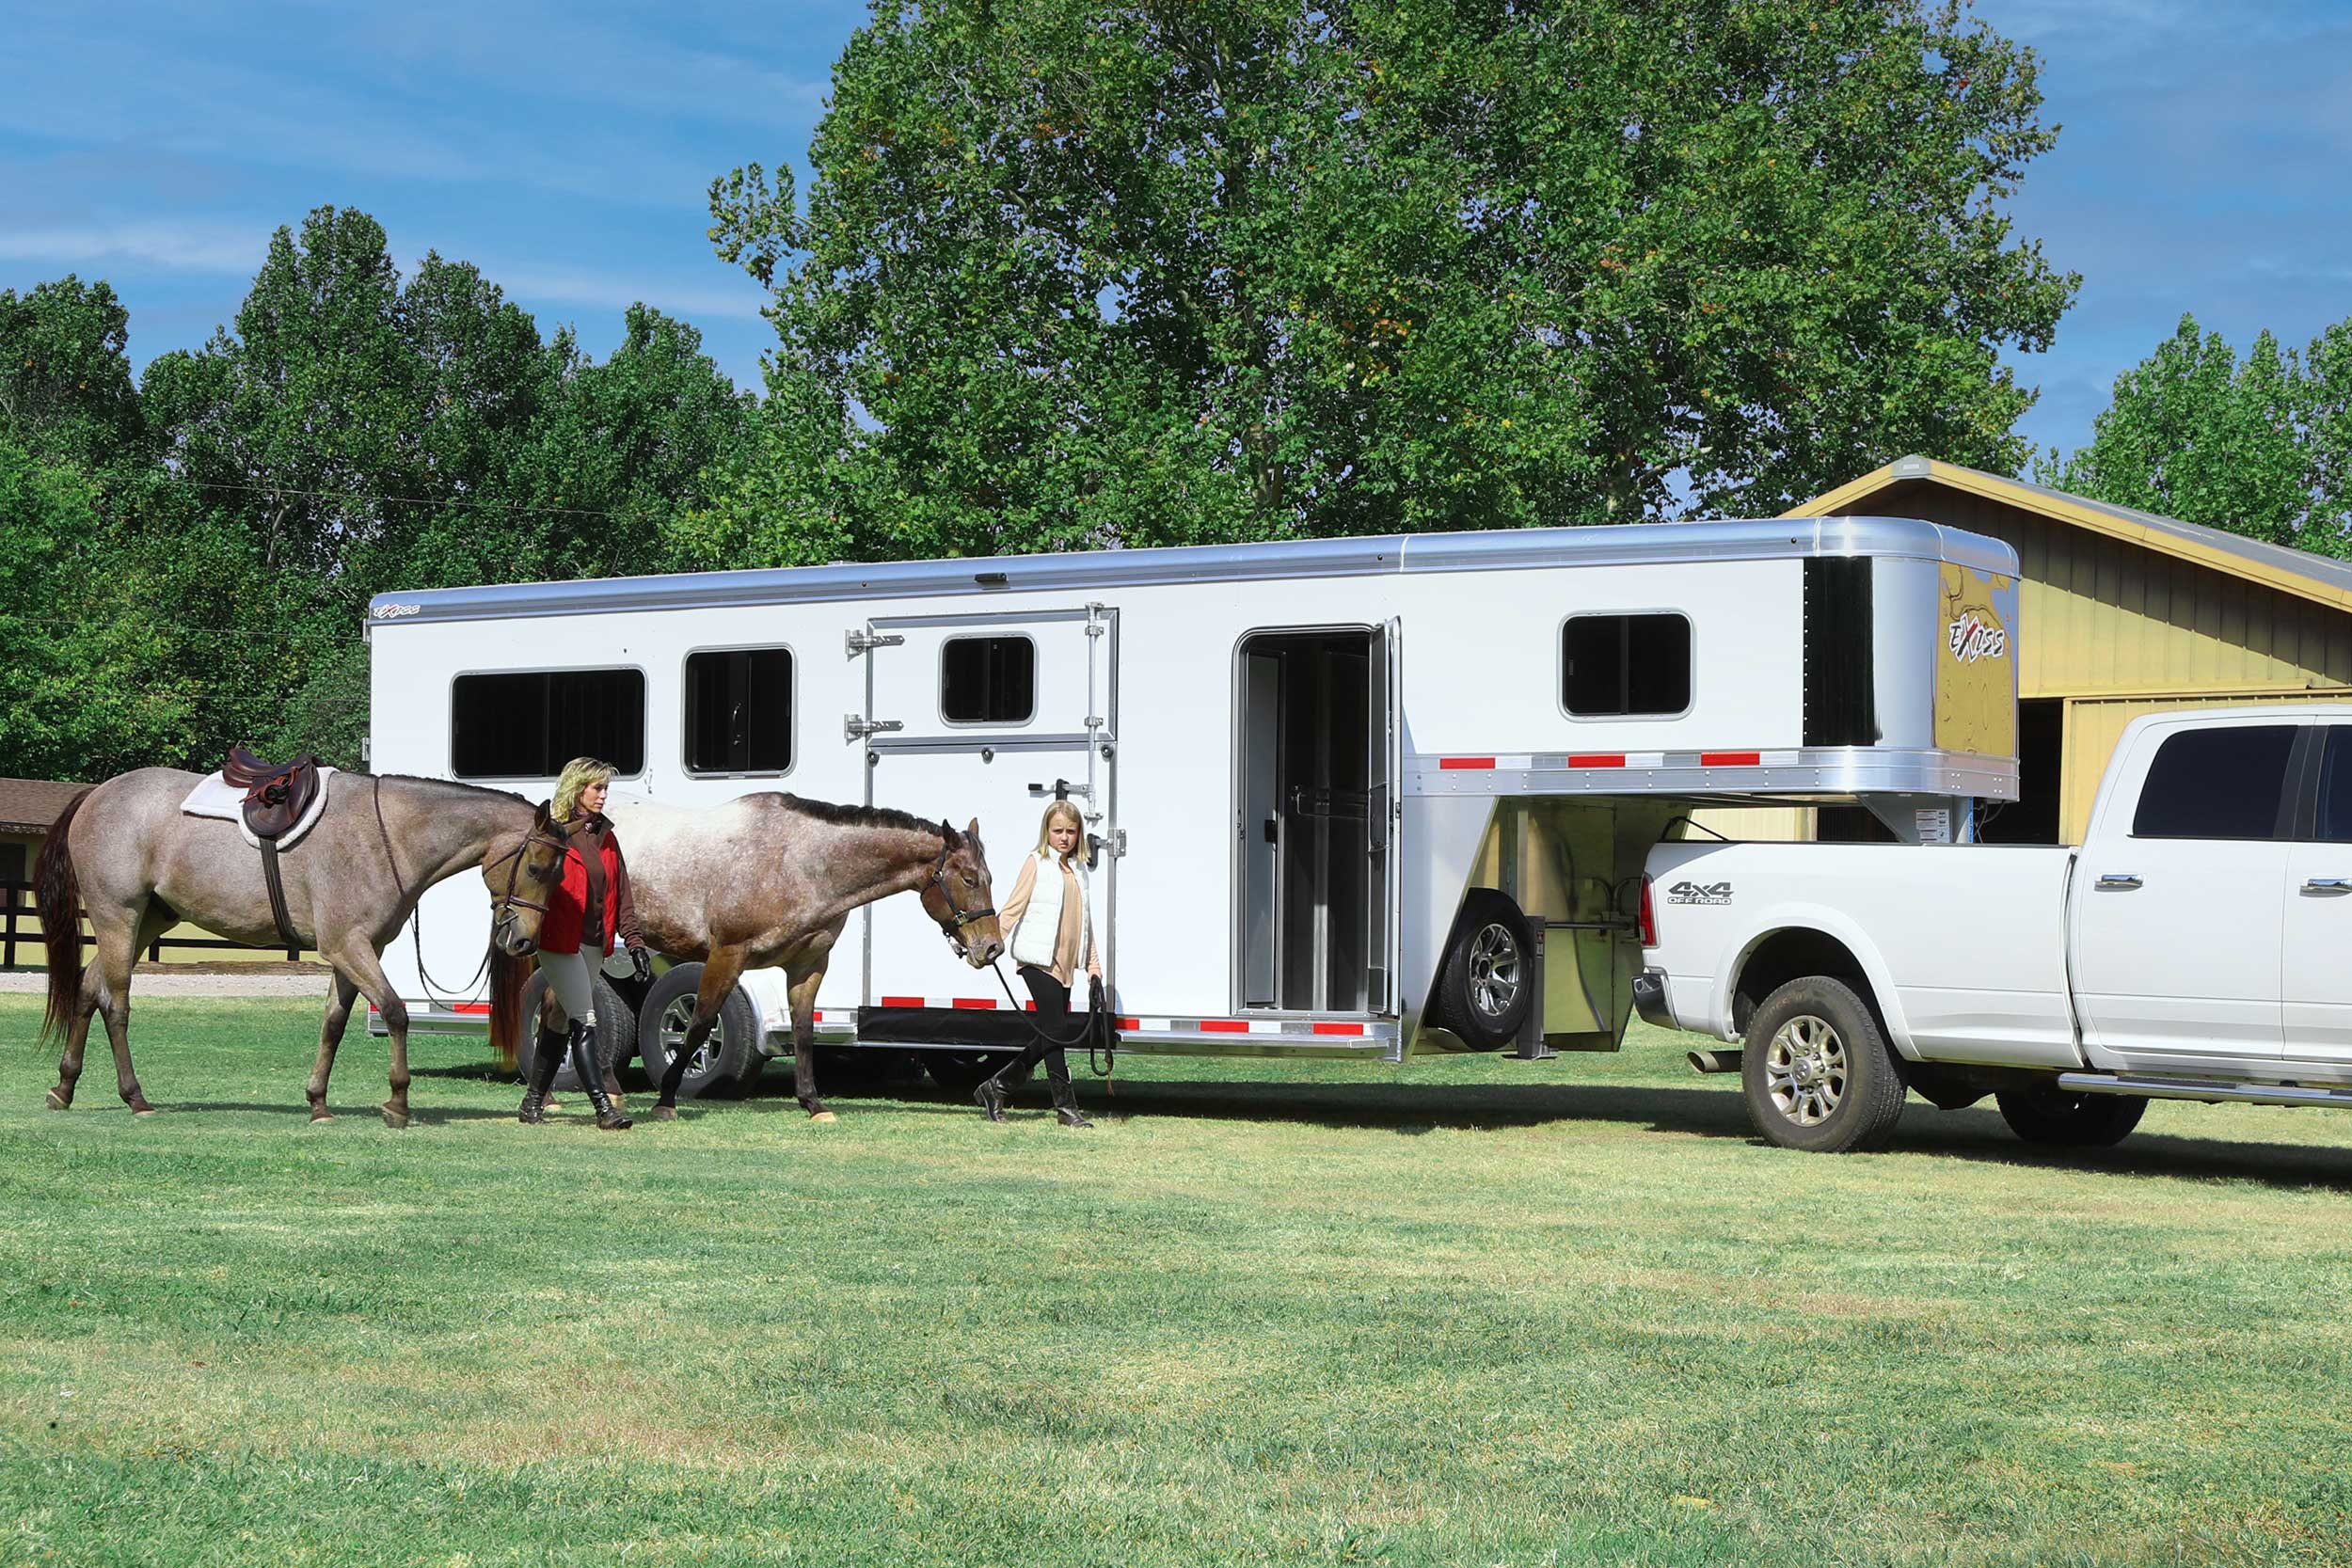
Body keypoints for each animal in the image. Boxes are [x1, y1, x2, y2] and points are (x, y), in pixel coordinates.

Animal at [43, 770, 566, 1128]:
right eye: (537, 868)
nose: (523, 940)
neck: (387, 834)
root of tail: (95, 795)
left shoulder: (356, 951)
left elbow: (333, 1024)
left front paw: (318, 1102)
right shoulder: (349, 946)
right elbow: (396, 1012)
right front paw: (397, 1102)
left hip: (147, 922)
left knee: (88, 990)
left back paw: (64, 1087)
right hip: (119, 918)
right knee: (115, 1004)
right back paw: (135, 1097)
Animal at [597, 803, 1002, 1123]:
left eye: (989, 878)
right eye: (969, 879)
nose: (992, 948)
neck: (798, 863)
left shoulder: (807, 965)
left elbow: (804, 1031)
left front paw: (813, 1103)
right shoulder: (727, 955)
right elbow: (699, 1025)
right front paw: (666, 1100)